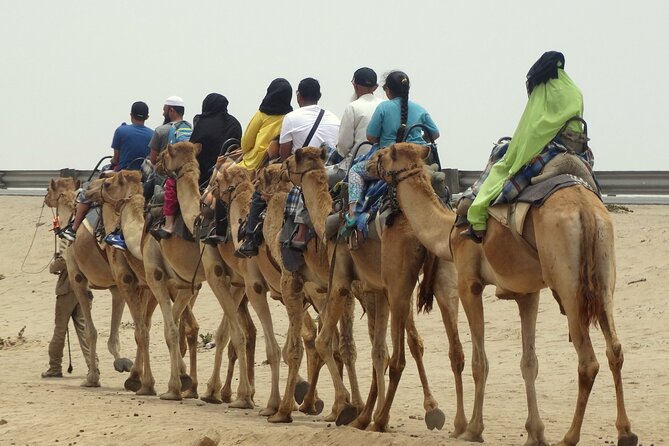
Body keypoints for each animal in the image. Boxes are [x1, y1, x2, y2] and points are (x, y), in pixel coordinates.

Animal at [44, 177, 133, 387]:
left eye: (48, 190)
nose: (44, 198)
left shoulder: (77, 277)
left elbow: (90, 332)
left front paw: (92, 378)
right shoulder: (115, 287)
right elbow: (113, 336)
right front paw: (122, 363)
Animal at [285, 147, 467, 433]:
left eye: (293, 159)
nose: (282, 166)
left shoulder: (342, 282)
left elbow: (325, 341)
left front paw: (348, 407)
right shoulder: (377, 291)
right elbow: (377, 350)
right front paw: (363, 413)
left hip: (399, 286)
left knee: (400, 357)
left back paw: (380, 419)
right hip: (444, 282)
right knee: (454, 351)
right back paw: (457, 424)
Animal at [374, 142, 637, 446]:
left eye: (381, 156)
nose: (367, 167)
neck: (447, 232)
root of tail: (587, 211)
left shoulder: (469, 284)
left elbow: (480, 362)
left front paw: (473, 429)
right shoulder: (527, 293)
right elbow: (529, 363)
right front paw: (535, 433)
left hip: (569, 286)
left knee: (588, 361)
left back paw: (570, 436)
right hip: (604, 276)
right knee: (614, 349)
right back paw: (626, 432)